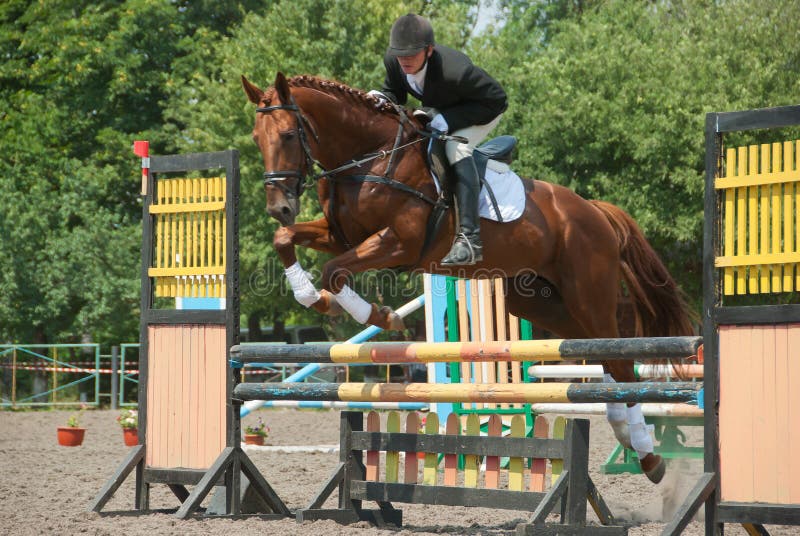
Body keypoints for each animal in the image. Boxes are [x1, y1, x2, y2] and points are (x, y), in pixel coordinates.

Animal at [242, 72, 692, 482]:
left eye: (287, 135)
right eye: (255, 138)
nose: (279, 207)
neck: (370, 157)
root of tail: (594, 210)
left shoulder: (399, 243)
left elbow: (334, 271)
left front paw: (377, 315)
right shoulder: (340, 236)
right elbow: (286, 241)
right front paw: (314, 296)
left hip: (587, 295)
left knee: (622, 360)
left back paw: (648, 456)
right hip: (541, 303)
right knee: (605, 356)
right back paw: (626, 433)